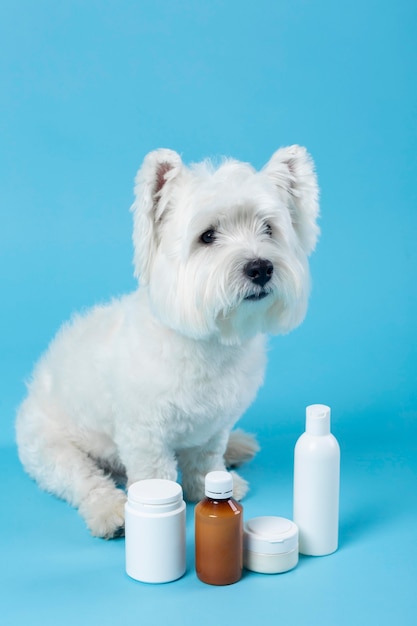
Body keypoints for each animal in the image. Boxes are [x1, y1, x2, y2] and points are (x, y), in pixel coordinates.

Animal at [13, 146, 318, 536]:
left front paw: (207, 484)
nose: (261, 267)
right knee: (83, 480)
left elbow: (206, 460)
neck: (207, 342)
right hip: (53, 449)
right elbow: (155, 476)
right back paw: (109, 510)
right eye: (207, 236)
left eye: (268, 228)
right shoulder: (144, 436)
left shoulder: (213, 426)